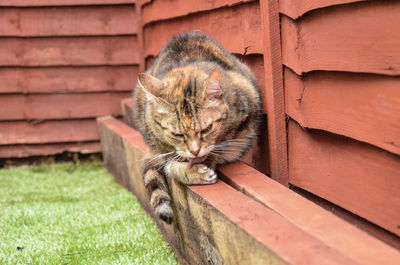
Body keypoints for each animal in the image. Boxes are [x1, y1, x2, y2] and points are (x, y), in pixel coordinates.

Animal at [132, 31, 262, 223]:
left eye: (206, 129)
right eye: (177, 135)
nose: (195, 151)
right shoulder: (160, 145)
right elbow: (170, 165)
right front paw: (195, 172)